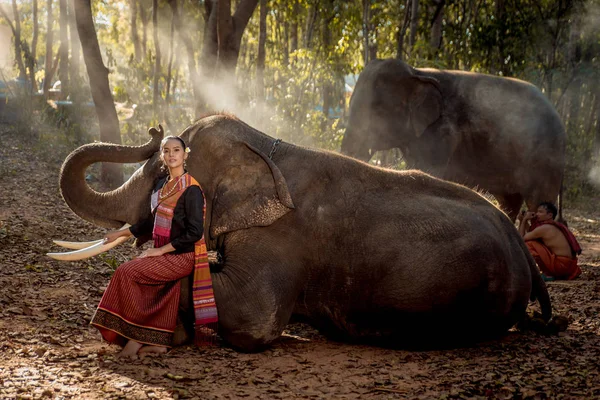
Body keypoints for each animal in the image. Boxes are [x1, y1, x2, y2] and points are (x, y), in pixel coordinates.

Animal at [58, 112, 552, 350]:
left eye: (163, 173)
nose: (154, 128)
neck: (263, 144)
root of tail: (521, 247)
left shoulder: (281, 237)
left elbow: (252, 317)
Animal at [342, 58, 568, 222]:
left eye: (376, 111)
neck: (417, 73)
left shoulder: (442, 132)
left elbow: (429, 172)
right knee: (509, 202)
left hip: (545, 160)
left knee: (538, 202)